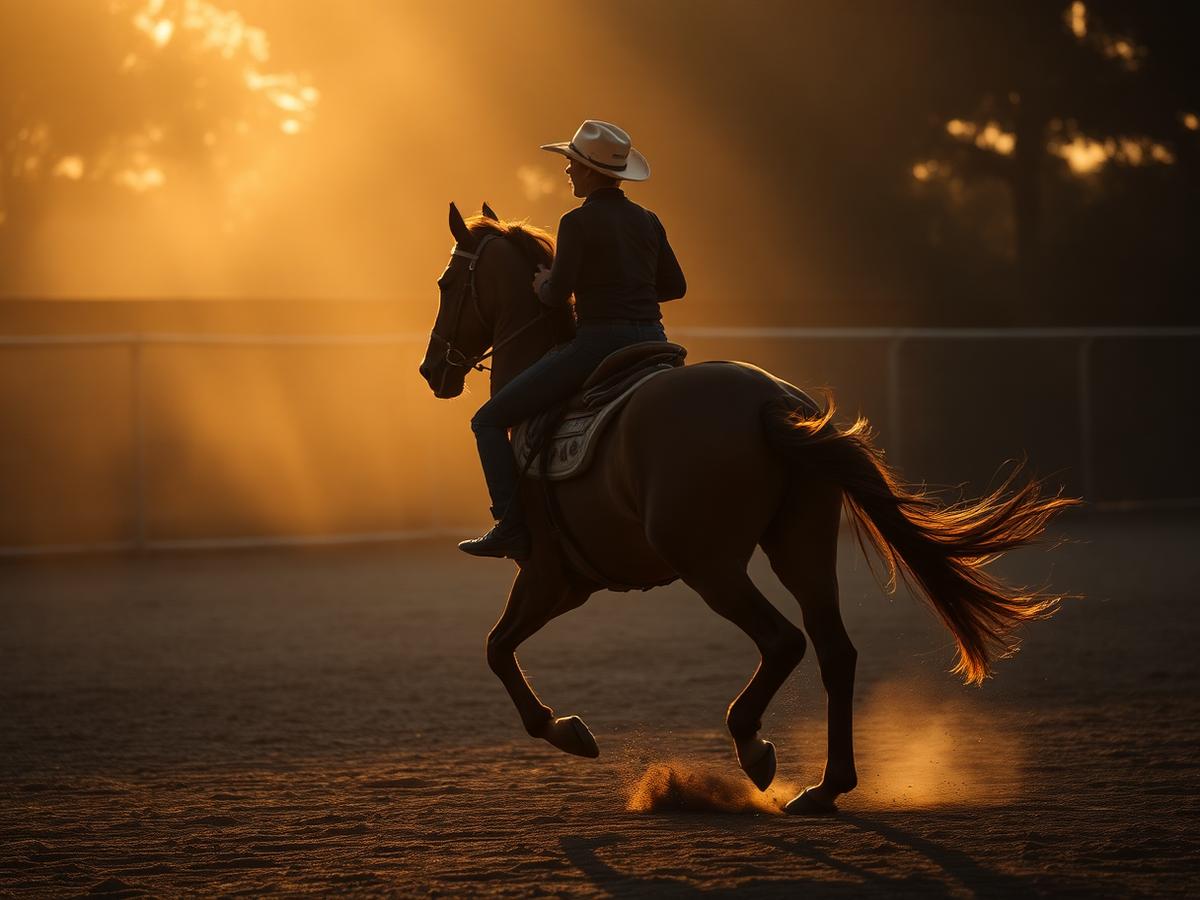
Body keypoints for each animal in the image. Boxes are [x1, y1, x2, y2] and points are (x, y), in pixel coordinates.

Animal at [418, 202, 1077, 814]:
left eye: (447, 284)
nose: (431, 371)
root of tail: (768, 401)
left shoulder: (548, 574)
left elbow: (496, 649)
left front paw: (568, 732)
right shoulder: (571, 583)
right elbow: (499, 646)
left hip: (710, 566)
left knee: (784, 641)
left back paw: (755, 750)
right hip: (800, 549)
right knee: (835, 651)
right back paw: (824, 788)